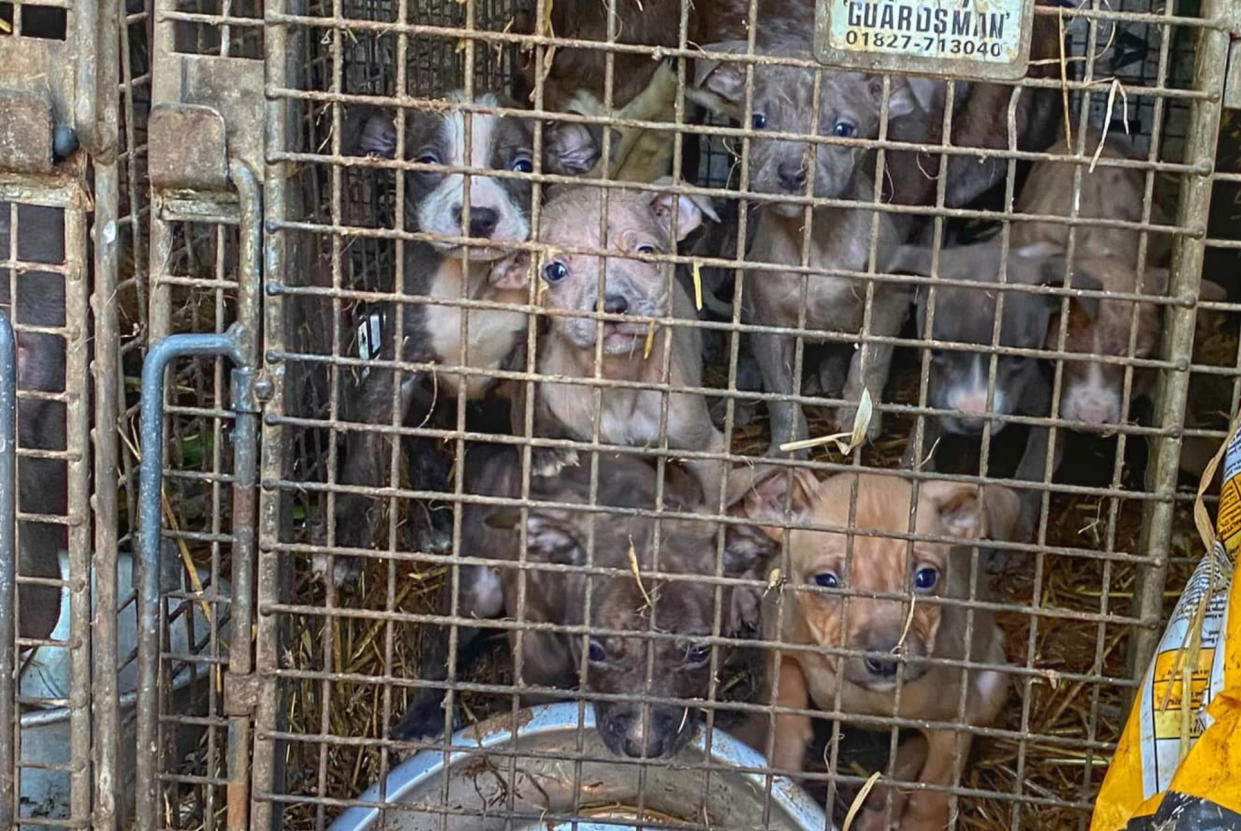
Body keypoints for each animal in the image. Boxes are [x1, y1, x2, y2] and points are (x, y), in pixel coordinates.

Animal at [327, 93, 541, 585]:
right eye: (427, 161)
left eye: (522, 166)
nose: (478, 216)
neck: (472, 285)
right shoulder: (395, 372)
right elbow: (365, 460)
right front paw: (345, 544)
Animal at [392, 448, 774, 764]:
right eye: (595, 650)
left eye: (699, 652)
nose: (643, 747)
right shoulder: (537, 662)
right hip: (478, 589)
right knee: (441, 643)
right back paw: (422, 720)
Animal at [734, 468, 1017, 831]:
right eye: (826, 581)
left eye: (925, 577)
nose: (885, 661)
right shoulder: (783, 641)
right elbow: (786, 708)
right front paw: (782, 760)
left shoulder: (955, 723)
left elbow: (932, 797)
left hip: (993, 684)